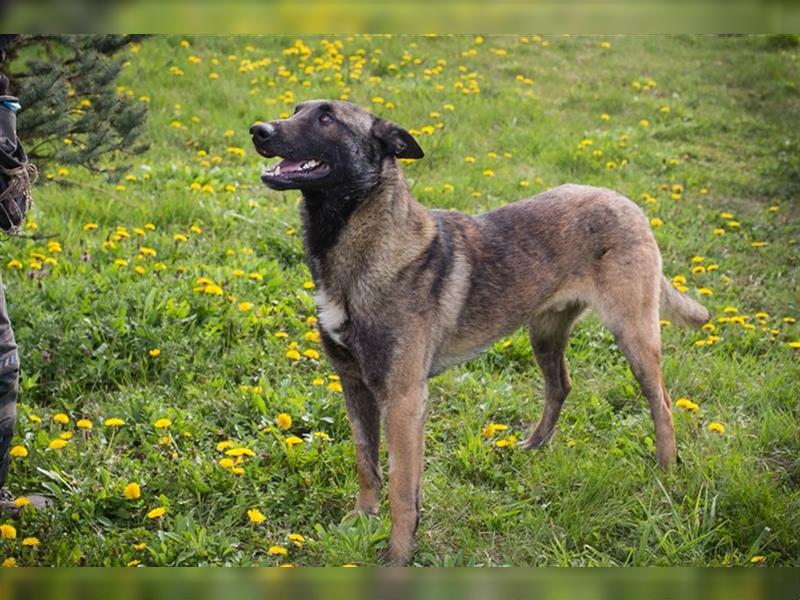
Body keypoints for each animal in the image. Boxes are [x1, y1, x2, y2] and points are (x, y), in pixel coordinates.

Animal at [248, 101, 708, 564]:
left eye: (326, 118)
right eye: (297, 109)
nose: (258, 130)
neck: (362, 248)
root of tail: (628, 203)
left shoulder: (403, 399)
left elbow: (401, 488)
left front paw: (398, 555)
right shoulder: (353, 384)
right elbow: (367, 465)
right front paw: (361, 521)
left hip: (634, 335)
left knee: (662, 403)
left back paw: (665, 471)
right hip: (544, 332)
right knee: (560, 385)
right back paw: (534, 446)